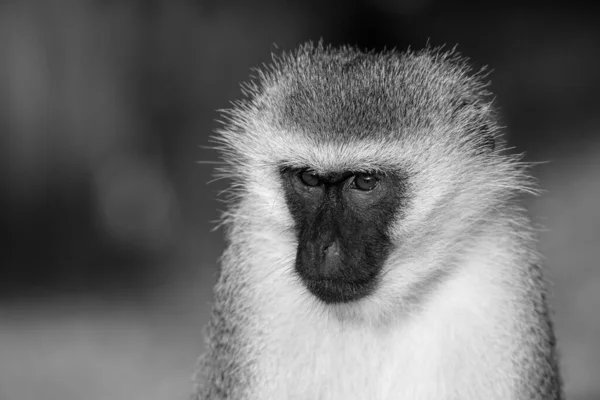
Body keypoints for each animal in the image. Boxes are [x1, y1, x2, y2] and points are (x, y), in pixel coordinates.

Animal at [196, 41, 564, 400]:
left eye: (364, 182)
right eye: (309, 179)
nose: (323, 246)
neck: (378, 312)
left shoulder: (500, 270)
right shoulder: (253, 268)